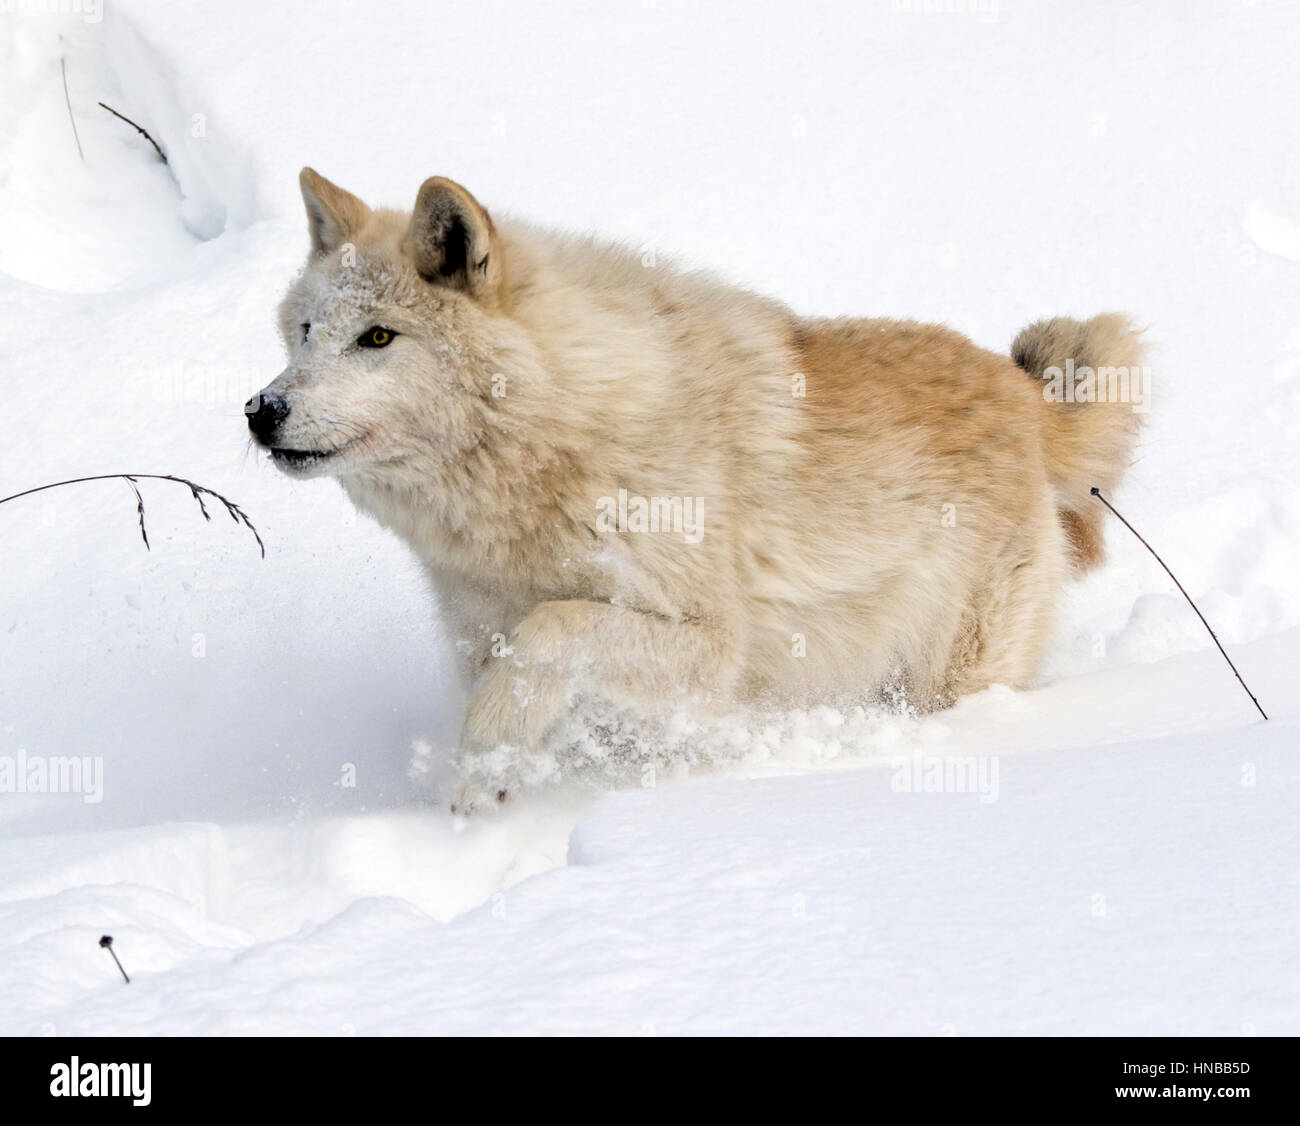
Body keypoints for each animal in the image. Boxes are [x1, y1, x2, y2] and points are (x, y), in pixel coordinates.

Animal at [248, 168, 1144, 810]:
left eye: (377, 338)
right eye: (306, 333)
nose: (262, 411)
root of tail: (1023, 393)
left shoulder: (708, 643)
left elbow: (551, 631)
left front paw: (482, 770)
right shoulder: (485, 634)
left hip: (947, 675)